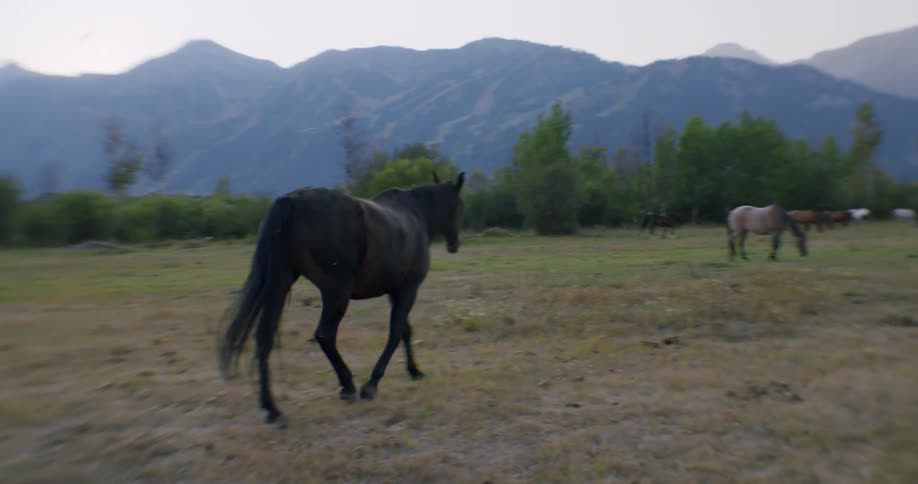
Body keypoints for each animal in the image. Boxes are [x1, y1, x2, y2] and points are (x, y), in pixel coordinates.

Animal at [218, 172, 466, 424]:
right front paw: (372, 385)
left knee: (264, 337)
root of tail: (291, 202)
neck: (414, 214)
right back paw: (347, 386)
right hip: (337, 293)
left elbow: (405, 330)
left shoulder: (394, 291)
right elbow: (396, 332)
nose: (455, 244)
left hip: (280, 283)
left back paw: (271, 408)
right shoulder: (409, 289)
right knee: (324, 335)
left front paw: (414, 371)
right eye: (459, 205)